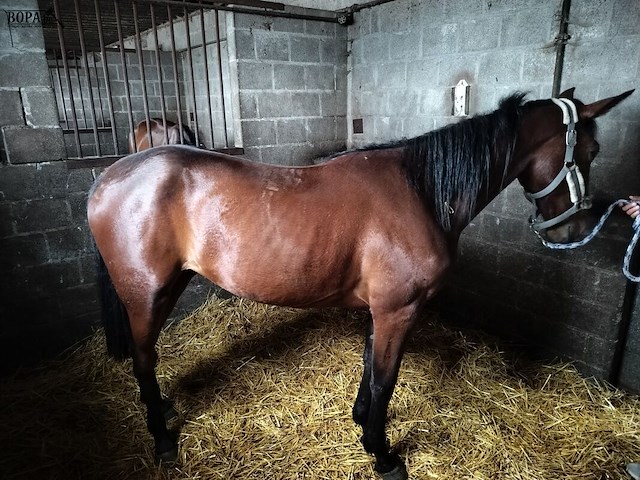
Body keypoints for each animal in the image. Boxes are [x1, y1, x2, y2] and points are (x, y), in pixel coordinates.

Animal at [87, 88, 632, 480]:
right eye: (592, 149)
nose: (572, 232)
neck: (422, 190)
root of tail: (108, 178)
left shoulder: (383, 310)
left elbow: (371, 369)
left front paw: (360, 422)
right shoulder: (399, 310)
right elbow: (386, 379)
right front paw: (382, 454)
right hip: (147, 295)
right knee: (143, 358)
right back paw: (162, 439)